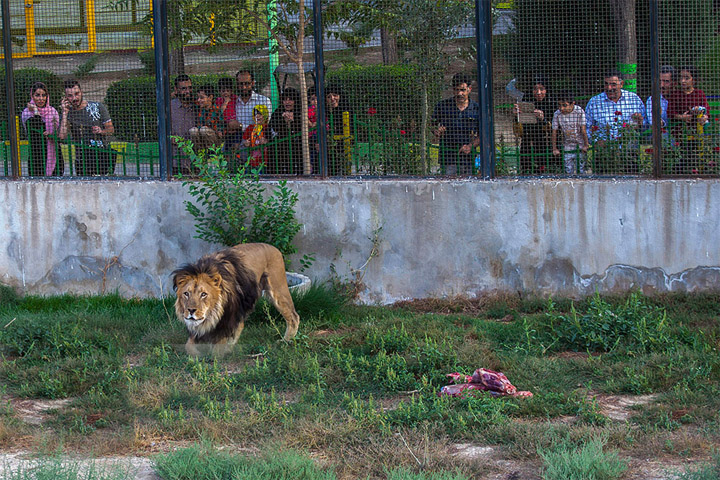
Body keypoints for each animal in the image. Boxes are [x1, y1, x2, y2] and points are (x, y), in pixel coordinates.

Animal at [172, 244, 300, 356]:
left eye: (203, 294)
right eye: (186, 294)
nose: (191, 310)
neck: (213, 315)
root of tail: (274, 248)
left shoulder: (231, 318)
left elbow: (218, 349)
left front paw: (217, 354)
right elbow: (188, 346)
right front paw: (198, 355)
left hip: (277, 290)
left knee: (293, 316)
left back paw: (285, 341)